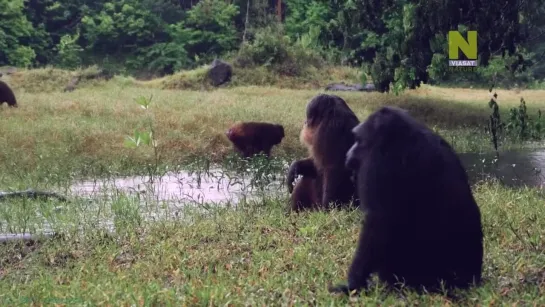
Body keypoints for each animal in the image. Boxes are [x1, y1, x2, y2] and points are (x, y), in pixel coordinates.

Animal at [330, 106, 482, 296]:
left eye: (358, 140)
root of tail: (468, 282)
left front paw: (353, 284)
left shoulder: (378, 163)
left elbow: (377, 222)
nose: (348, 153)